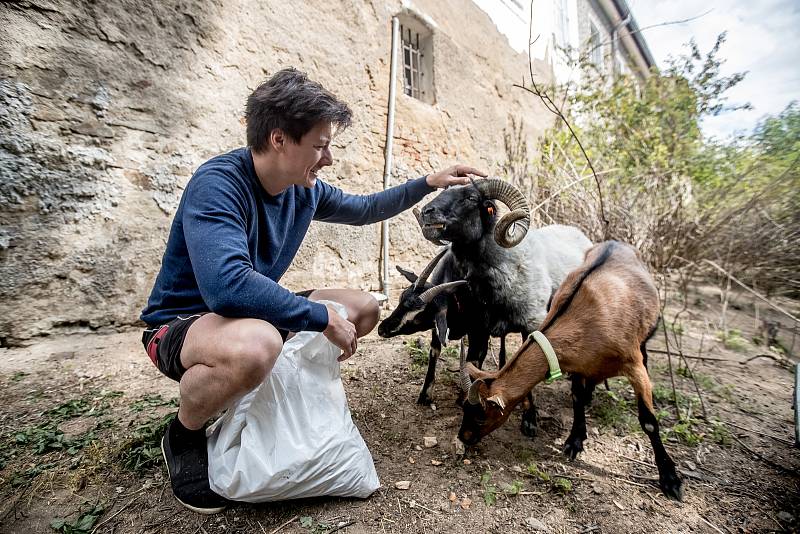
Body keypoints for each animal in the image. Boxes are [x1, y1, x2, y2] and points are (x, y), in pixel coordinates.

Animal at [456, 243, 680, 502]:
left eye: (481, 416)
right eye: (464, 409)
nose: (463, 437)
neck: (587, 316)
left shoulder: (634, 367)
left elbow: (649, 422)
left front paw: (670, 480)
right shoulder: (579, 364)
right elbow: (577, 398)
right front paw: (574, 441)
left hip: (645, 337)